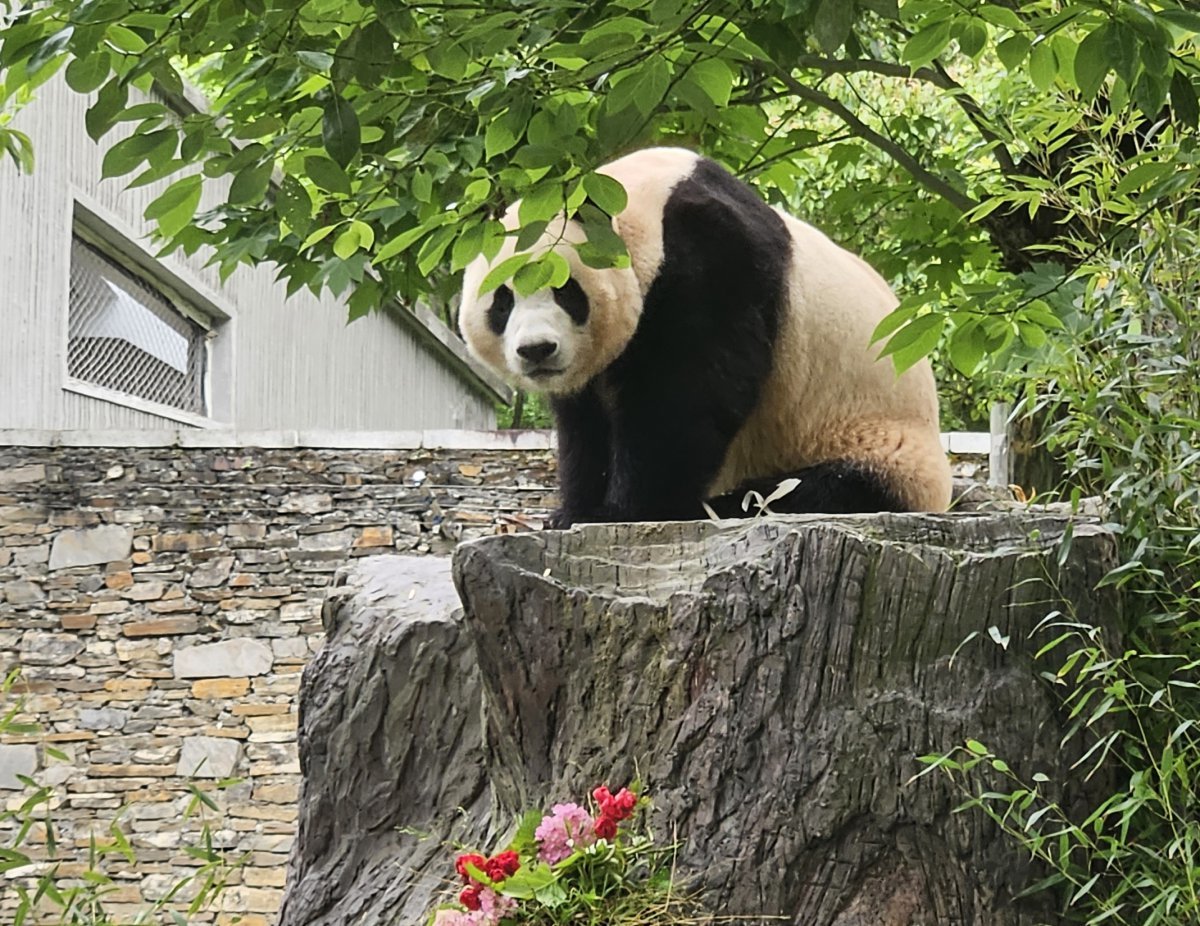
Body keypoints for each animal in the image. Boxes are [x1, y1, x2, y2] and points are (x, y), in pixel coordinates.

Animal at [453, 146, 950, 527]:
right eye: (502, 301)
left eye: (565, 290)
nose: (537, 350)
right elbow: (585, 424)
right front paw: (572, 510)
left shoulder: (712, 257)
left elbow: (688, 395)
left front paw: (622, 510)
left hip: (879, 444)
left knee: (819, 490)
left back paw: (720, 506)